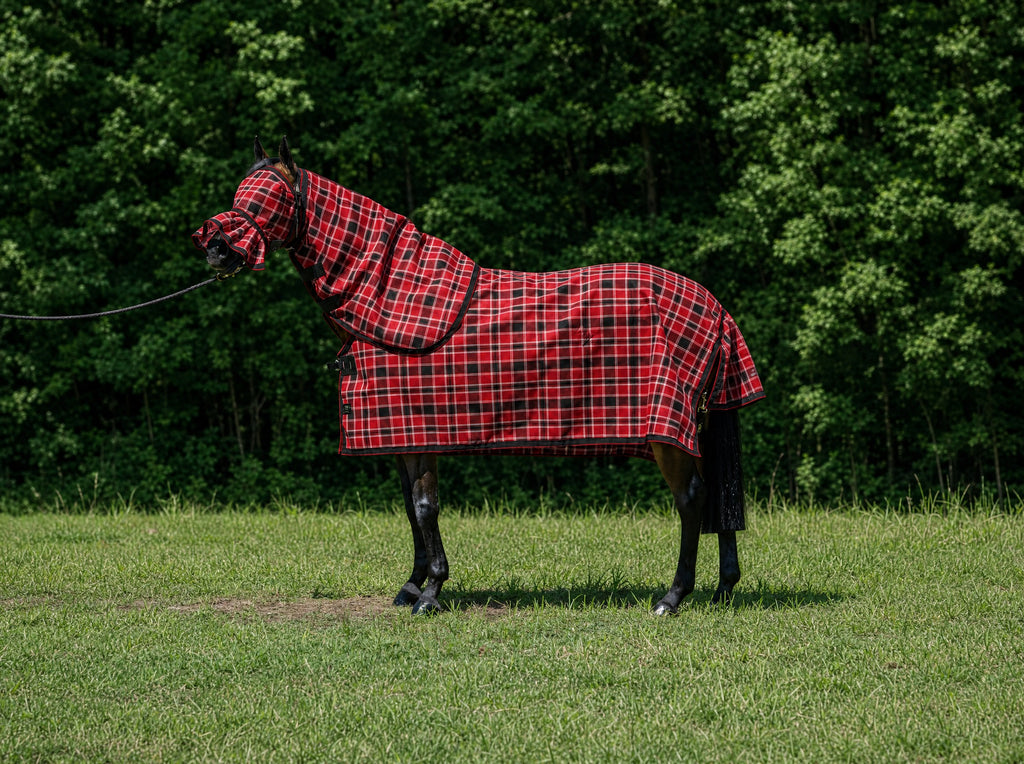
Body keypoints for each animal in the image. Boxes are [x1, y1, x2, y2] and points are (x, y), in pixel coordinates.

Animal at [194, 137, 765, 616]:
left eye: (268, 198)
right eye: (241, 192)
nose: (215, 248)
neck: (388, 296)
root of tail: (712, 306)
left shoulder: (421, 434)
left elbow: (426, 508)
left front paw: (431, 593)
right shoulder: (402, 437)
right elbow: (410, 511)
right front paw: (412, 586)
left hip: (667, 432)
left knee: (691, 499)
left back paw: (673, 597)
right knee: (715, 494)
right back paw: (722, 589)